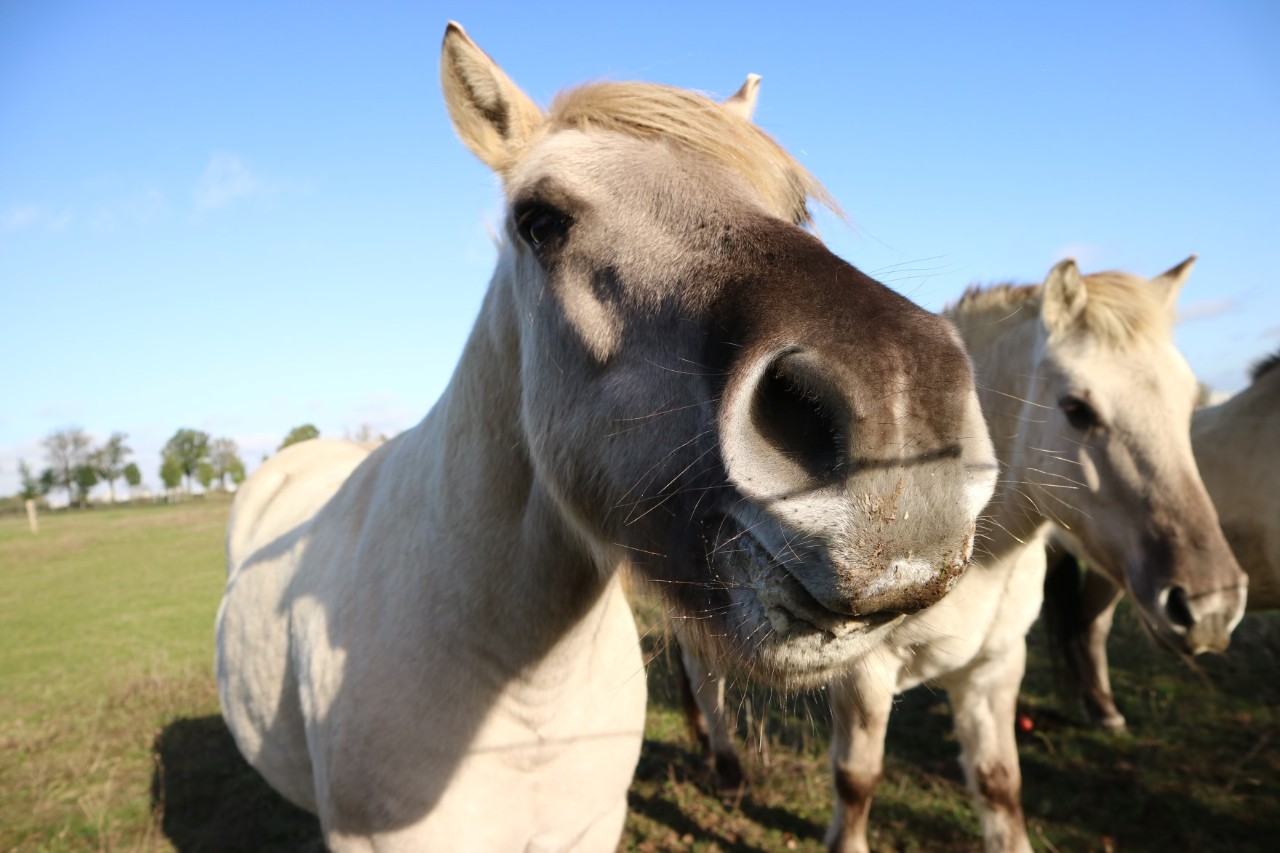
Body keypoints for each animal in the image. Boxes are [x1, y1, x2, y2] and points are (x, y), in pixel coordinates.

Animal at [679, 258, 1248, 852]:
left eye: (1188, 403)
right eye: (1077, 409)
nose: (1211, 607)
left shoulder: (995, 668)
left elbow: (999, 784)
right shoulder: (865, 674)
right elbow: (857, 778)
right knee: (703, 674)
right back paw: (727, 769)